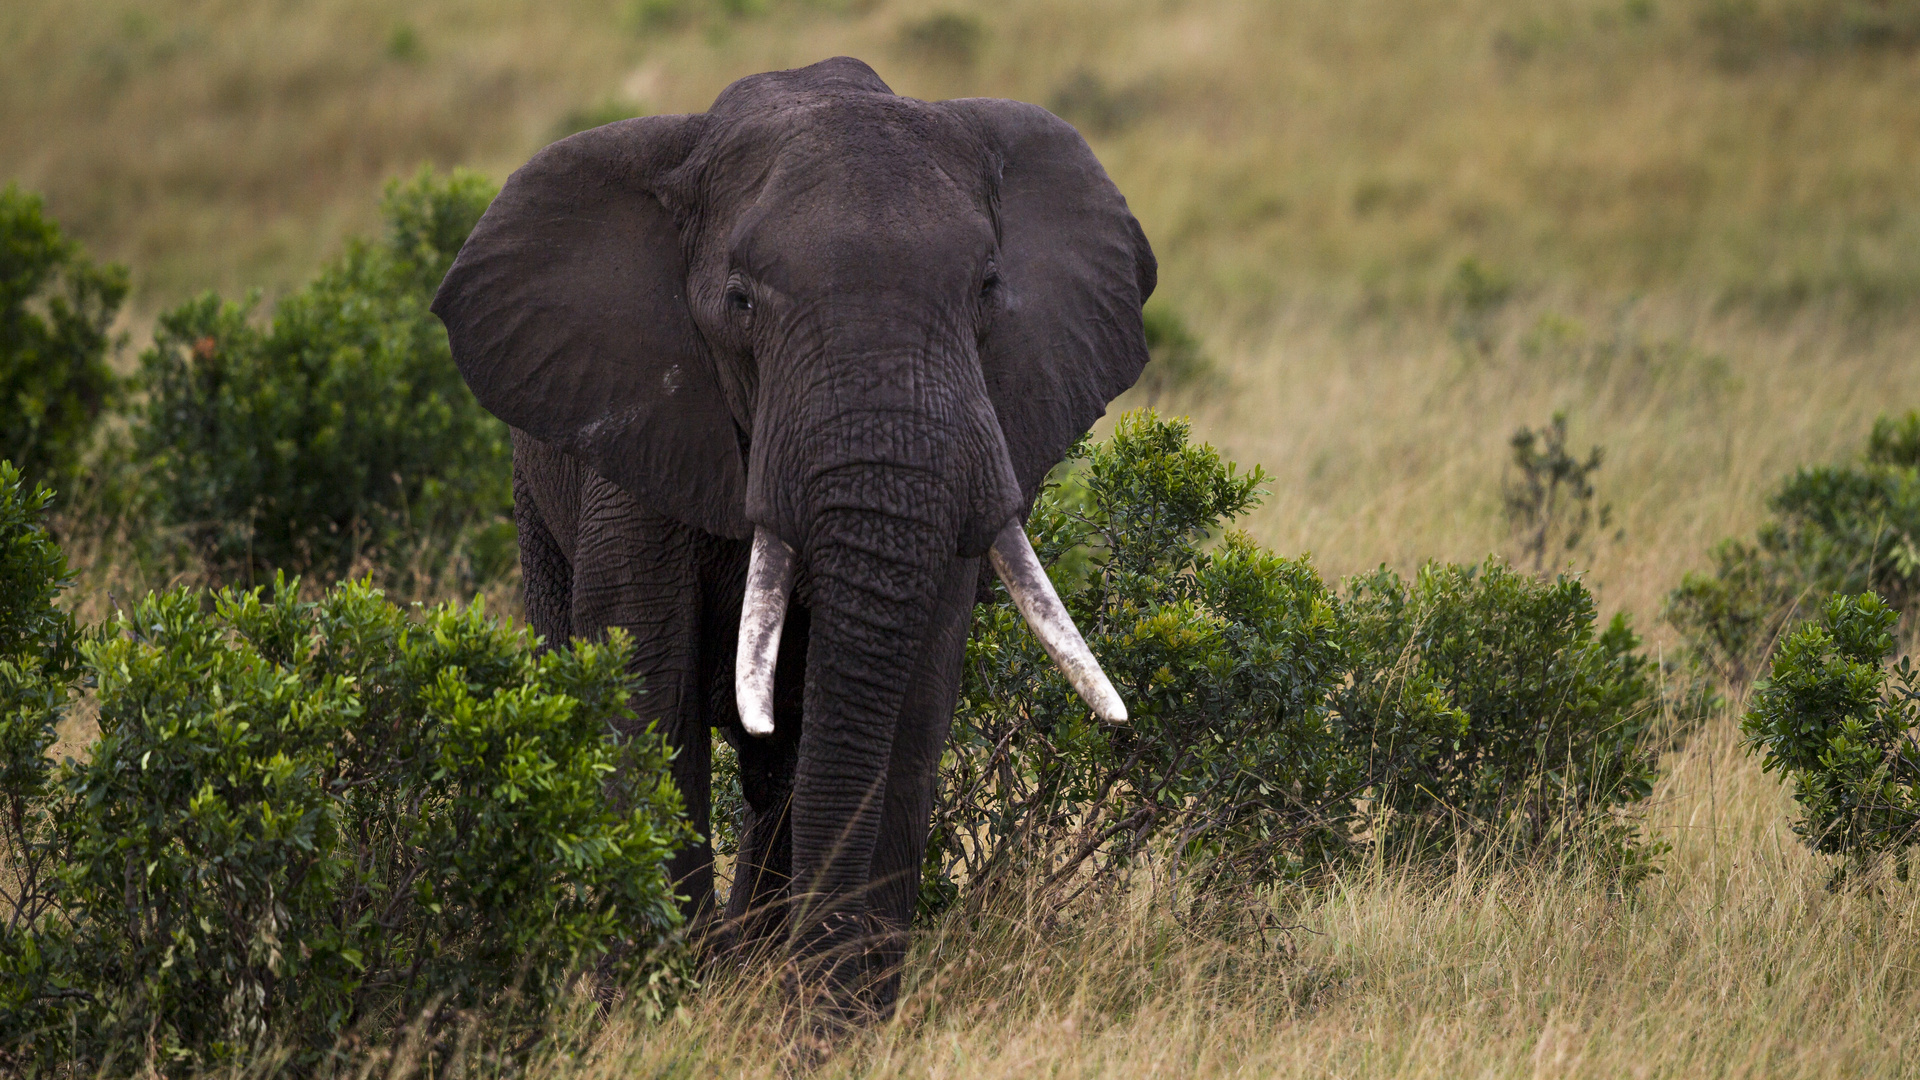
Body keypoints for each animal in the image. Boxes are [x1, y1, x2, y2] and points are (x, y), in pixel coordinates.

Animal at [432, 56, 1152, 1014]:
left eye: (988, 290)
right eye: (740, 302)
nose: (821, 990)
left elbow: (915, 693)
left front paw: (834, 1016)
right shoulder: (641, 427)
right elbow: (644, 680)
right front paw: (663, 1002)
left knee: (776, 767)